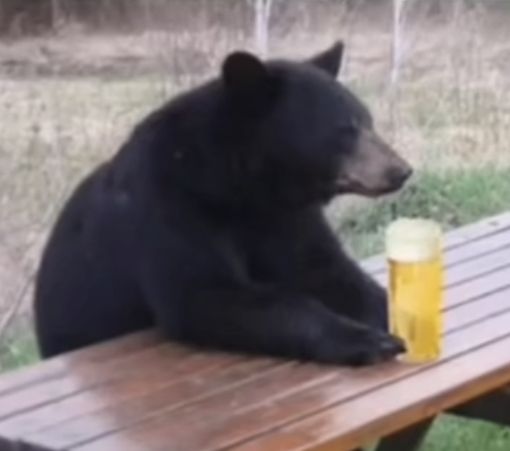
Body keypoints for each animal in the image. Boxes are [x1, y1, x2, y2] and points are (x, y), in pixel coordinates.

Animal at [33, 41, 412, 368]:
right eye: (344, 129)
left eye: (367, 120)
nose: (401, 170)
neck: (244, 188)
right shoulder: (170, 206)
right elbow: (204, 294)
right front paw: (369, 340)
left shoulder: (286, 217)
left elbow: (327, 269)